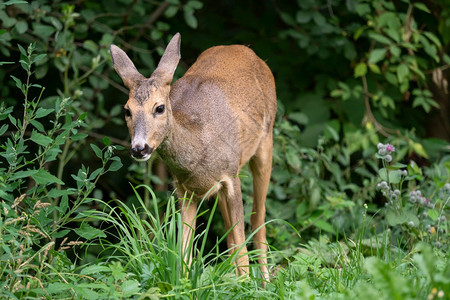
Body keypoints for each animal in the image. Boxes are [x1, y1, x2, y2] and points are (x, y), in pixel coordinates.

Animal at [110, 32, 278, 284]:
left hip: (266, 141)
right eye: (126, 110)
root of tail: (245, 49)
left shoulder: (231, 176)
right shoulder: (185, 189)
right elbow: (184, 253)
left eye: (159, 108)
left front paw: (247, 285)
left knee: (258, 218)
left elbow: (242, 248)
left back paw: (265, 282)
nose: (139, 148)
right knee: (230, 232)